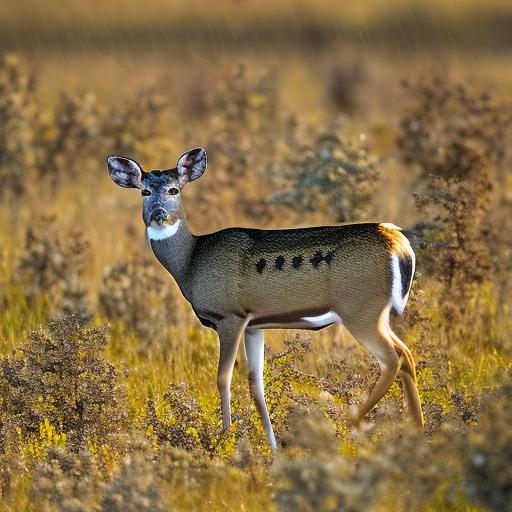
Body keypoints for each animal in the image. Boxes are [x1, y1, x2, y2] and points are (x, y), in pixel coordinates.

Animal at [106, 147, 422, 448]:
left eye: (174, 190)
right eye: (145, 191)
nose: (159, 214)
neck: (192, 262)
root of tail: (396, 240)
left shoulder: (229, 316)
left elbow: (223, 377)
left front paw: (226, 440)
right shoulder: (254, 325)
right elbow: (255, 382)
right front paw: (272, 448)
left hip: (360, 309)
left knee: (392, 359)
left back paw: (350, 424)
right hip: (374, 312)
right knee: (406, 354)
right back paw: (418, 430)